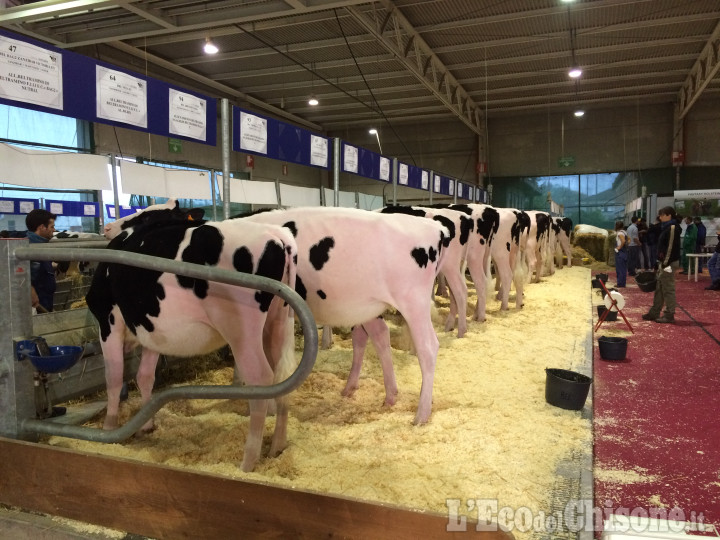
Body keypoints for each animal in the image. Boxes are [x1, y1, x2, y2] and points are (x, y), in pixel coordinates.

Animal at [87, 200, 298, 470]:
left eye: (145, 217)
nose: (108, 227)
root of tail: (276, 235)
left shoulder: (108, 320)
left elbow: (113, 378)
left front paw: (109, 428)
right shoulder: (152, 328)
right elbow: (145, 376)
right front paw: (146, 425)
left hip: (241, 329)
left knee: (260, 378)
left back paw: (248, 461)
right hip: (278, 321)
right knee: (283, 374)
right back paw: (277, 447)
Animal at [239, 207, 448, 426]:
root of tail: (435, 227)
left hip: (413, 301)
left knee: (428, 347)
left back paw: (421, 414)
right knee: (379, 336)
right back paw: (386, 395)